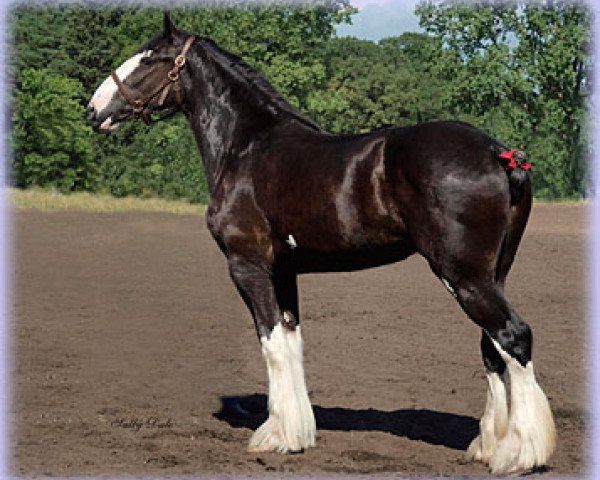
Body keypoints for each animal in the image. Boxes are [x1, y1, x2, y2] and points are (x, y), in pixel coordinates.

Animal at [89, 13, 556, 474]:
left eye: (149, 58)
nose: (94, 110)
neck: (247, 146)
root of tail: (499, 153)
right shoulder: (284, 270)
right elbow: (291, 342)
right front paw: (296, 432)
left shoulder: (247, 265)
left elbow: (271, 343)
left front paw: (276, 437)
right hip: (492, 274)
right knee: (492, 347)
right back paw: (489, 446)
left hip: (463, 276)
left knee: (513, 336)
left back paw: (519, 453)